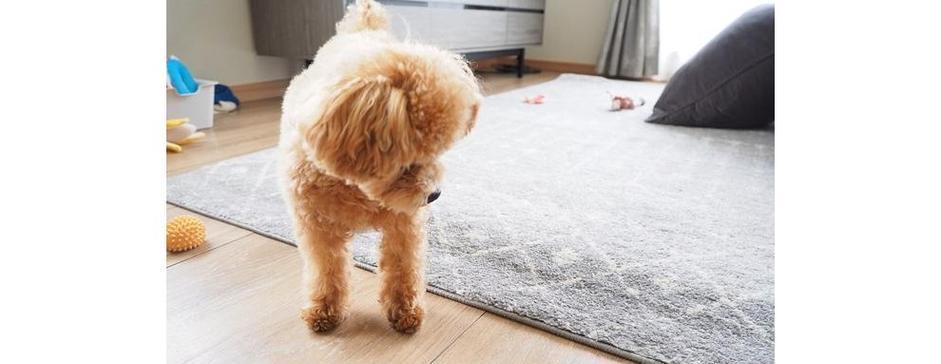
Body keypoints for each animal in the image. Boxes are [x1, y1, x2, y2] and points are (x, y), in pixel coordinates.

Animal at [276, 0, 482, 334]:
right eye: (407, 164)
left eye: (440, 152)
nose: (434, 195)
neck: (357, 188)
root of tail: (363, 28)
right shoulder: (317, 226)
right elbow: (326, 269)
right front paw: (324, 310)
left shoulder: (404, 224)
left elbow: (403, 266)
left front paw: (405, 311)